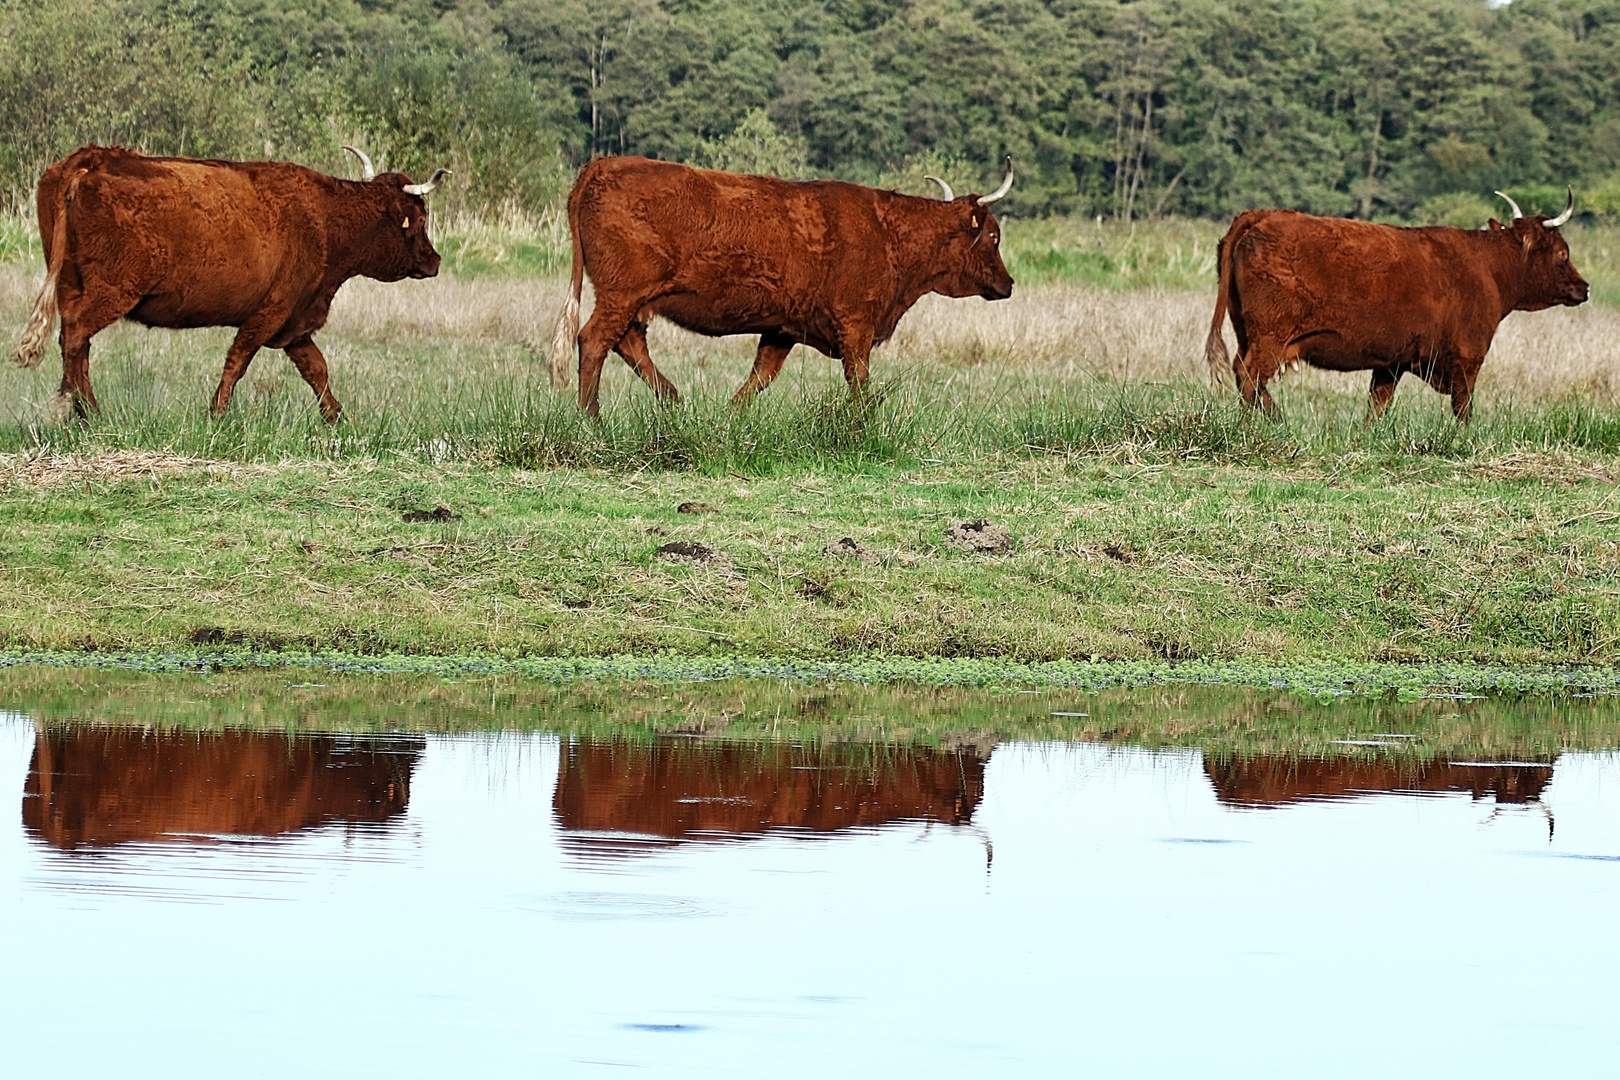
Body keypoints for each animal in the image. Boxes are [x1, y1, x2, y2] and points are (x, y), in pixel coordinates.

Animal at [11, 145, 450, 424]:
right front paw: (217, 415)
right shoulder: (271, 311)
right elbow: (238, 361)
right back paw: (85, 411)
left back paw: (76, 407)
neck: (325, 219)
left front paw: (336, 417)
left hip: (70, 283)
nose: (435, 261)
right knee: (76, 335)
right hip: (113, 289)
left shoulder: (294, 323)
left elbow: (317, 370)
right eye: (420, 219)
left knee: (74, 340)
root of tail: (92, 158)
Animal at [550, 156, 1017, 414]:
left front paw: (729, 416)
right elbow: (859, 383)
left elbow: (759, 378)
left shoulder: (782, 328)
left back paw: (674, 401)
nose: (1009, 284)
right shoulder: (856, 324)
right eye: (994, 236)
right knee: (594, 340)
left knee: (628, 343)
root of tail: (603, 164)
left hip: (631, 301)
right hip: (620, 295)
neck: (888, 232)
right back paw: (592, 418)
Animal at [1211, 190, 1587, 417]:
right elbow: (1463, 409)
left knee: (1242, 374)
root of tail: (1262, 215)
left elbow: (1377, 406)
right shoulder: (1469, 357)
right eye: (1562, 253)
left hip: (1246, 330)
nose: (1584, 288)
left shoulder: (1391, 363)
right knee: (1249, 376)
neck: (1489, 268)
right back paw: (1270, 422)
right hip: (1270, 337)